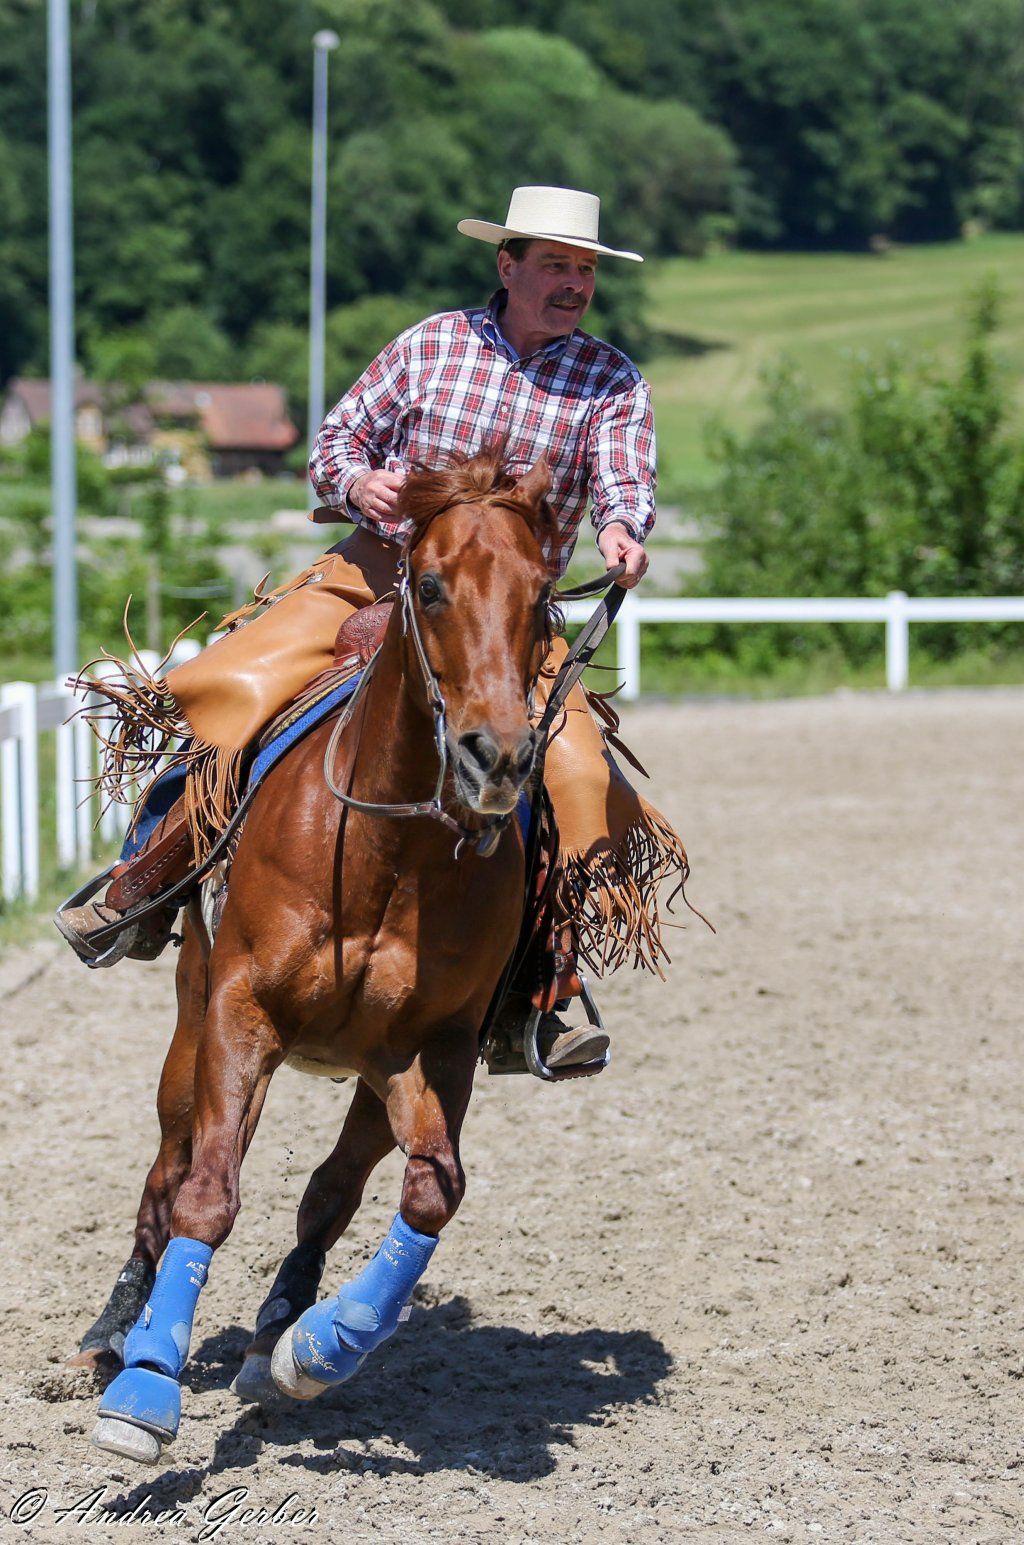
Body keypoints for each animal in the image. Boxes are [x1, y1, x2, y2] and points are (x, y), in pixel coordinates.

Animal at [77, 449, 560, 1464]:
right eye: (431, 584)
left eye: (544, 596)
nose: (496, 756)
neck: (387, 850)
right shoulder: (241, 1013)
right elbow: (207, 1193)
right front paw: (145, 1386)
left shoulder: (434, 1047)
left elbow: (429, 1191)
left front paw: (321, 1346)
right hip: (192, 1024)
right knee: (170, 1166)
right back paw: (111, 1335)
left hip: (367, 1071)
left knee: (330, 1191)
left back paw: (281, 1331)